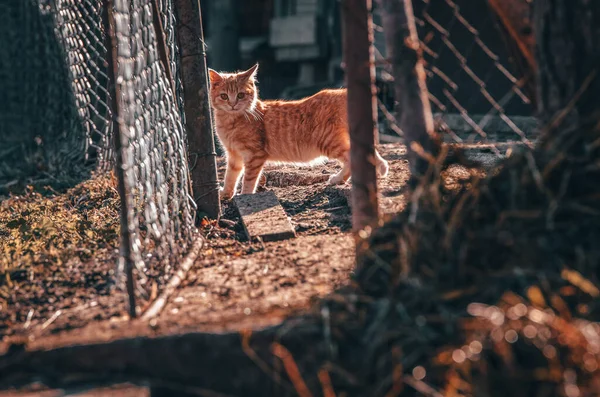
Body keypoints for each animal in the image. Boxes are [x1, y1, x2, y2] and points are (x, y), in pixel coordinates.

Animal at [209, 63, 392, 200]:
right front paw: (225, 194)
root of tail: (342, 92)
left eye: (240, 95)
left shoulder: (254, 155)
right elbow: (230, 176)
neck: (230, 121)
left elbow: (248, 179)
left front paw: (245, 196)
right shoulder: (234, 155)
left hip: (328, 142)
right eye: (224, 96)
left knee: (353, 159)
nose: (233, 104)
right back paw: (341, 179)